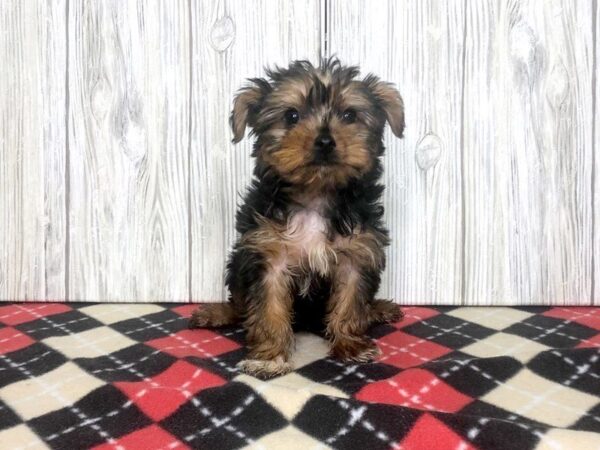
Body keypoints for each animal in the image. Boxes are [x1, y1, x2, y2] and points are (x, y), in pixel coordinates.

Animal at [190, 58, 406, 378]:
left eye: (349, 115)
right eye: (291, 115)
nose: (325, 141)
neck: (315, 194)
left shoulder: (358, 252)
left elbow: (350, 300)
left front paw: (350, 344)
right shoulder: (268, 256)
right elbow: (268, 309)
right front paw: (269, 357)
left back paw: (376, 309)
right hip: (237, 263)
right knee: (240, 303)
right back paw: (217, 312)